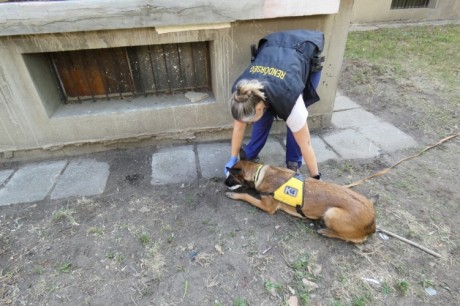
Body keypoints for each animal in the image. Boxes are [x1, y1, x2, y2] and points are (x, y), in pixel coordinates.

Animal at [225, 160, 376, 244]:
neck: (258, 173)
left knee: (352, 238)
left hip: (331, 213)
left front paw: (234, 194)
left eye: (231, 176)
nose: (224, 182)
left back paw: (327, 231)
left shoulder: (267, 207)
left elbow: (247, 196)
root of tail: (372, 223)